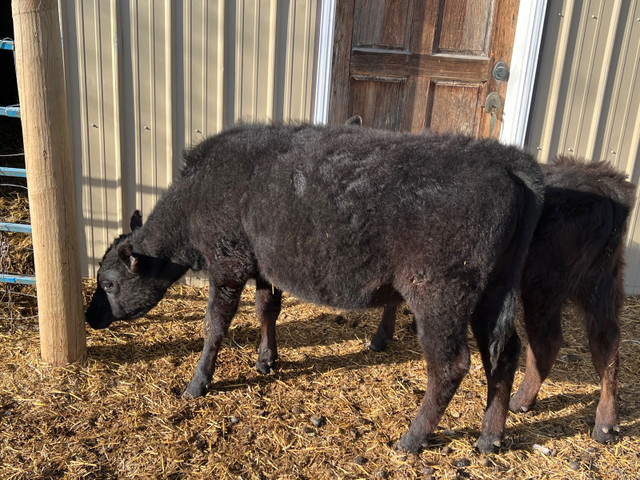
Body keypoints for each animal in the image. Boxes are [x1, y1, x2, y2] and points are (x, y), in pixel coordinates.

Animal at [85, 122, 544, 452]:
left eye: (108, 282)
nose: (90, 315)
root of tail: (504, 159)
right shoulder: (263, 267)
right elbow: (266, 308)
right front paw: (266, 360)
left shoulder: (228, 265)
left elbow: (214, 327)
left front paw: (197, 384)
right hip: (492, 295)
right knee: (505, 353)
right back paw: (489, 437)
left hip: (441, 297)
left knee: (450, 366)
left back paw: (412, 439)